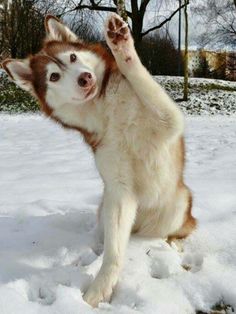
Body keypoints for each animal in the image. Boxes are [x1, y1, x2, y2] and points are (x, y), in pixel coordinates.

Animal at [2, 14, 196, 306]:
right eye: (54, 76)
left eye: (72, 57)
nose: (84, 78)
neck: (105, 106)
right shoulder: (119, 190)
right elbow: (114, 253)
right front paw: (101, 287)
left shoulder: (167, 119)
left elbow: (139, 75)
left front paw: (121, 45)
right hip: (106, 208)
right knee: (111, 234)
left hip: (176, 206)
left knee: (178, 229)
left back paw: (174, 242)